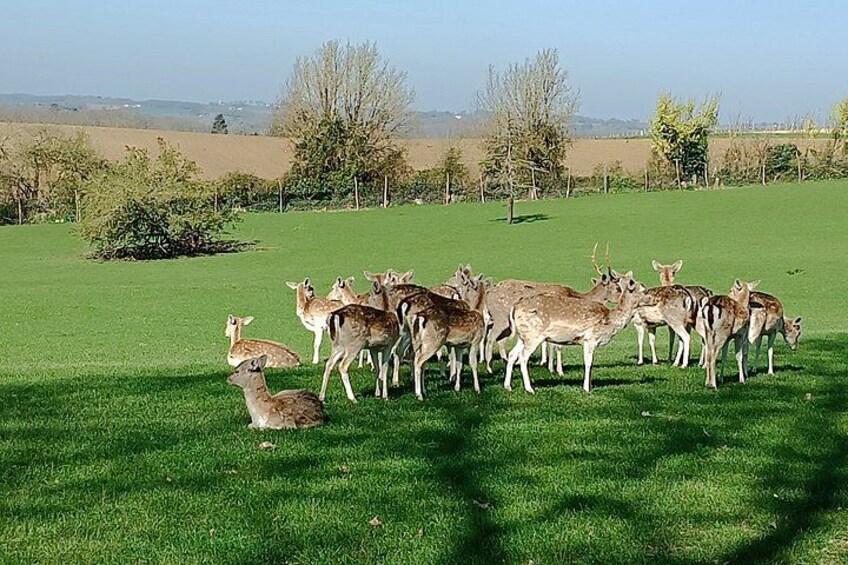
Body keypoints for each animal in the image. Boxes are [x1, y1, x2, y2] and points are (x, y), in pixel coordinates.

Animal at [505, 272, 646, 394]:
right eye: (644, 290)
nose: (650, 296)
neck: (609, 321)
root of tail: (514, 307)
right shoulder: (590, 339)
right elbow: (588, 363)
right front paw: (587, 389)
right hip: (533, 335)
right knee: (523, 357)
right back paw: (530, 389)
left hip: (523, 336)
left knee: (512, 354)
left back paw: (508, 386)